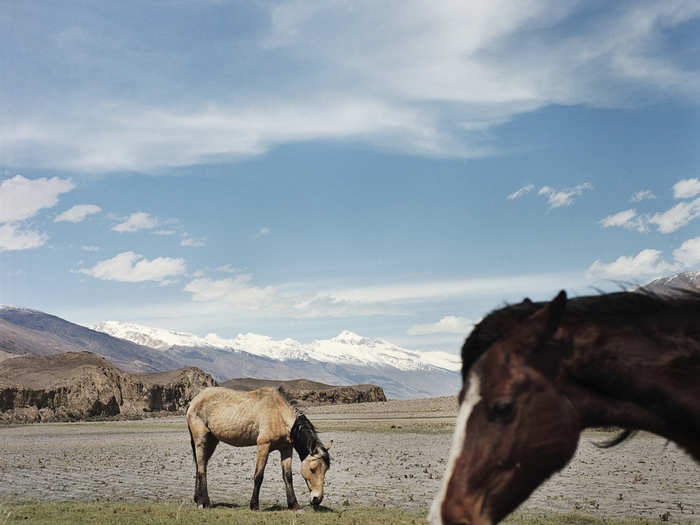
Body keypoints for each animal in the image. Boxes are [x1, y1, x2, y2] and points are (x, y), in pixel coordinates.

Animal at [187, 382, 332, 510]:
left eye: (326, 470)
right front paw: (254, 505)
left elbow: (288, 476)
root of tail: (194, 401)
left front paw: (294, 505)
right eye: (313, 469)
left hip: (212, 441)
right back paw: (203, 502)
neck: (279, 413)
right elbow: (258, 476)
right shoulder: (264, 446)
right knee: (201, 468)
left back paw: (197, 499)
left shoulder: (286, 449)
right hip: (201, 439)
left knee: (201, 466)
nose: (317, 499)